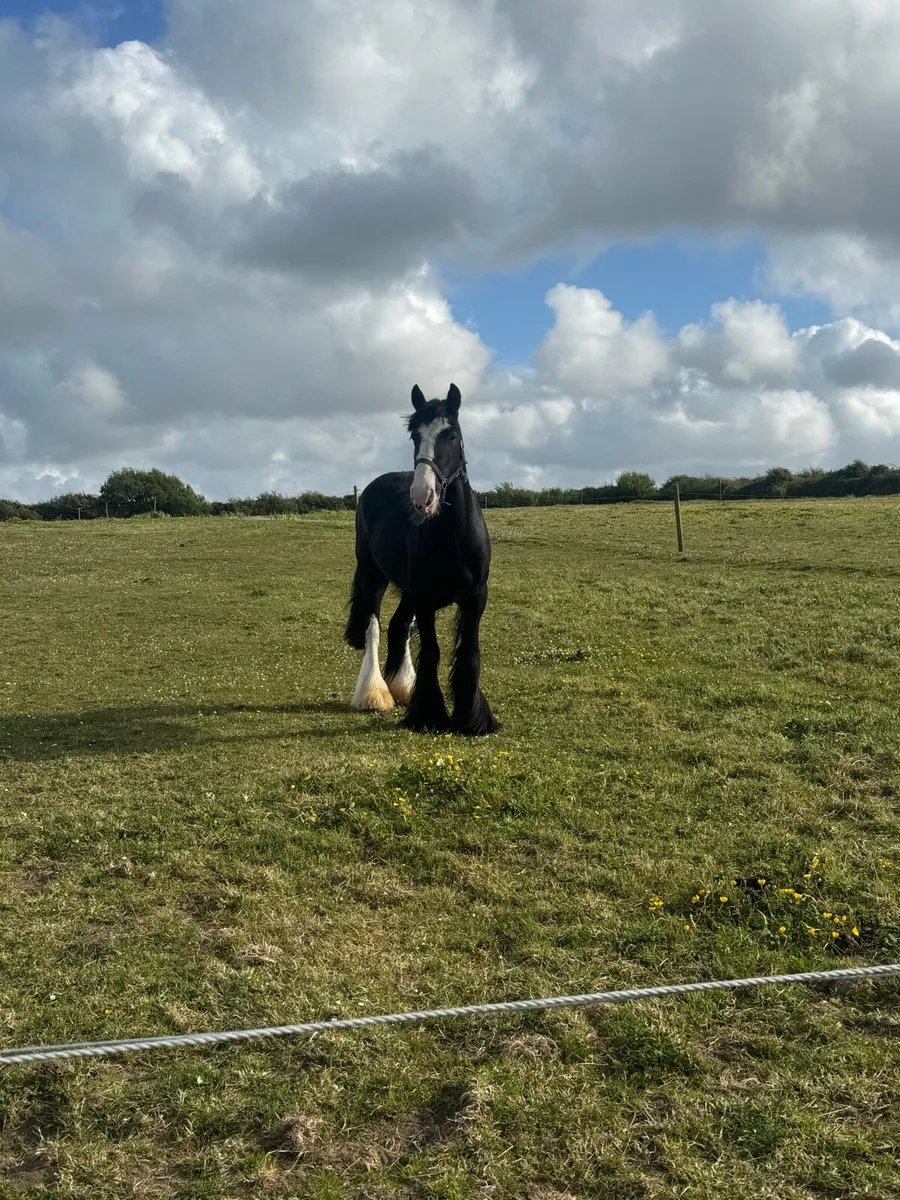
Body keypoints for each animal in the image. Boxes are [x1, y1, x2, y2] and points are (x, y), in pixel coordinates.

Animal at [343, 383, 500, 736]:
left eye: (451, 435)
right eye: (415, 436)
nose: (422, 496)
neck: (454, 538)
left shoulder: (475, 599)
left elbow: (468, 652)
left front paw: (473, 719)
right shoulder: (426, 600)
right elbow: (432, 651)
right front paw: (430, 715)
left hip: (407, 592)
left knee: (399, 625)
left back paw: (402, 687)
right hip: (373, 576)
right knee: (374, 627)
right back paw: (374, 693)